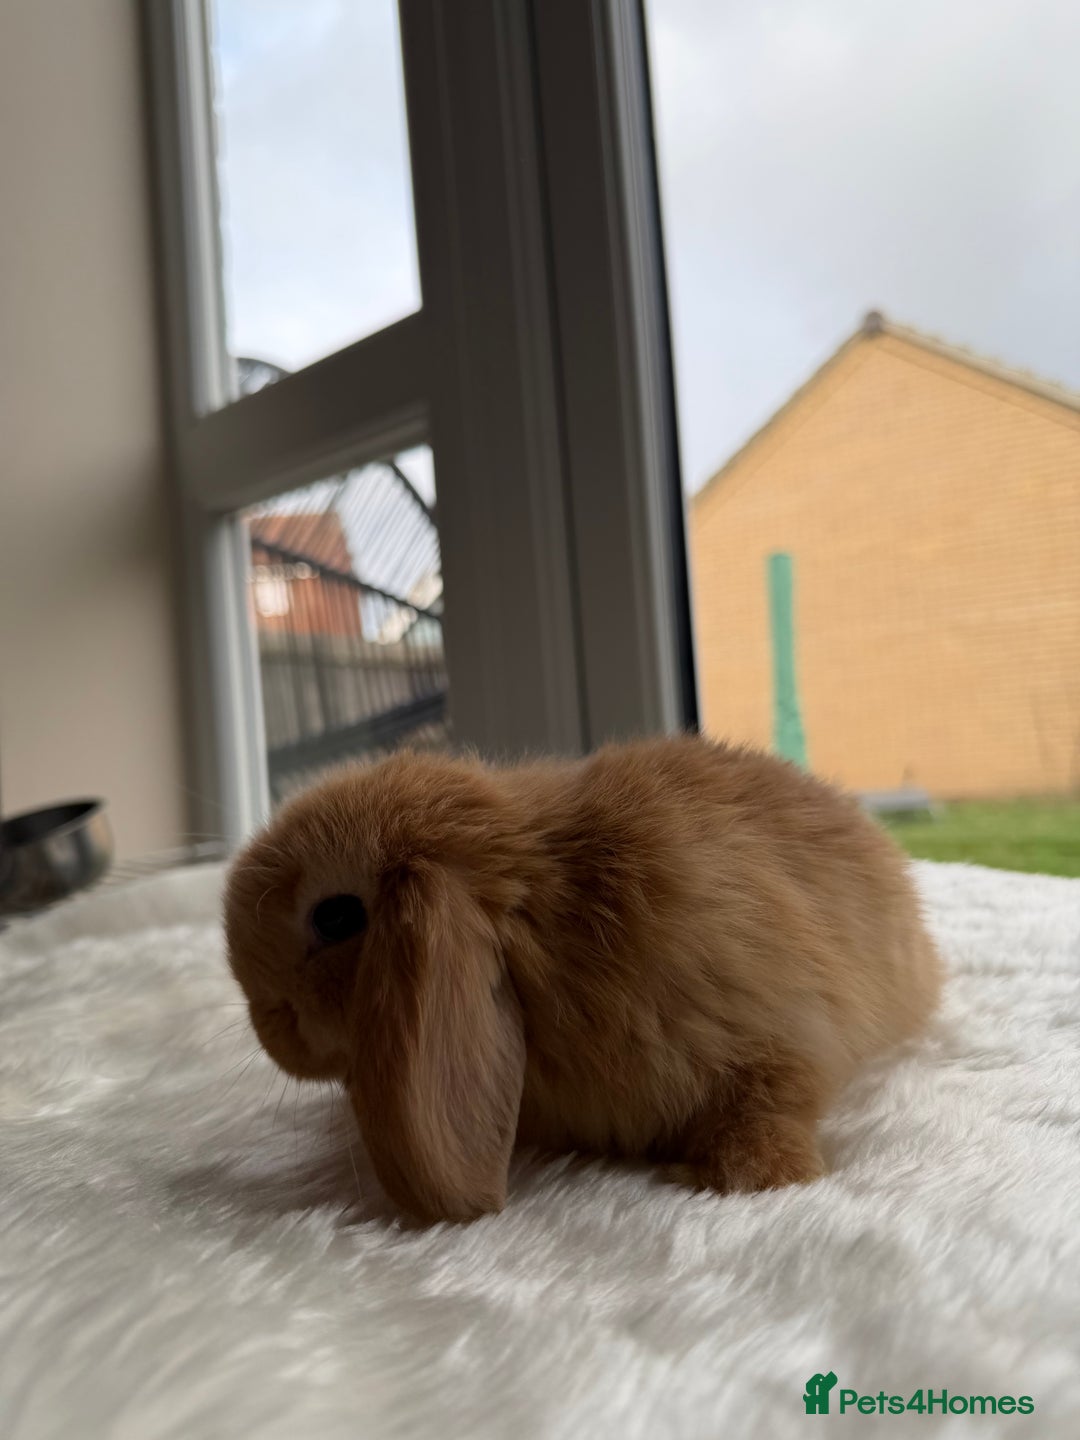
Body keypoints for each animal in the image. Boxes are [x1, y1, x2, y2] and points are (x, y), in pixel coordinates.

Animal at [224, 735, 942, 1222]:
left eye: (337, 916)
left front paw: (752, 1178)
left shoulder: (776, 1028)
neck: (548, 911)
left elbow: (770, 1101)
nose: (265, 1023)